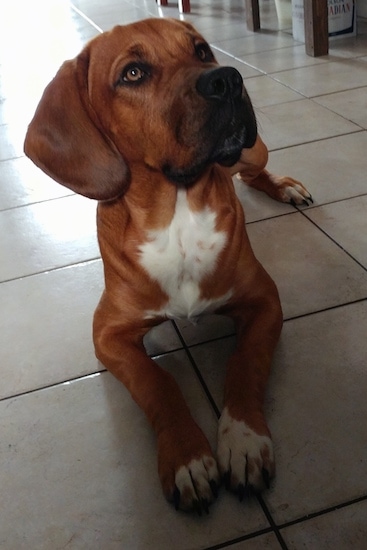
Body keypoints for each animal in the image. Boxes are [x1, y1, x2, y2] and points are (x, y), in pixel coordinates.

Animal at [24, 18, 312, 516]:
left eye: (200, 50)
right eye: (133, 73)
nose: (227, 79)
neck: (177, 210)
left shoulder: (264, 301)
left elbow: (244, 364)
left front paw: (243, 440)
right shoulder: (108, 333)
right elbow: (157, 382)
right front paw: (188, 457)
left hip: (253, 150)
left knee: (251, 171)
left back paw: (285, 186)